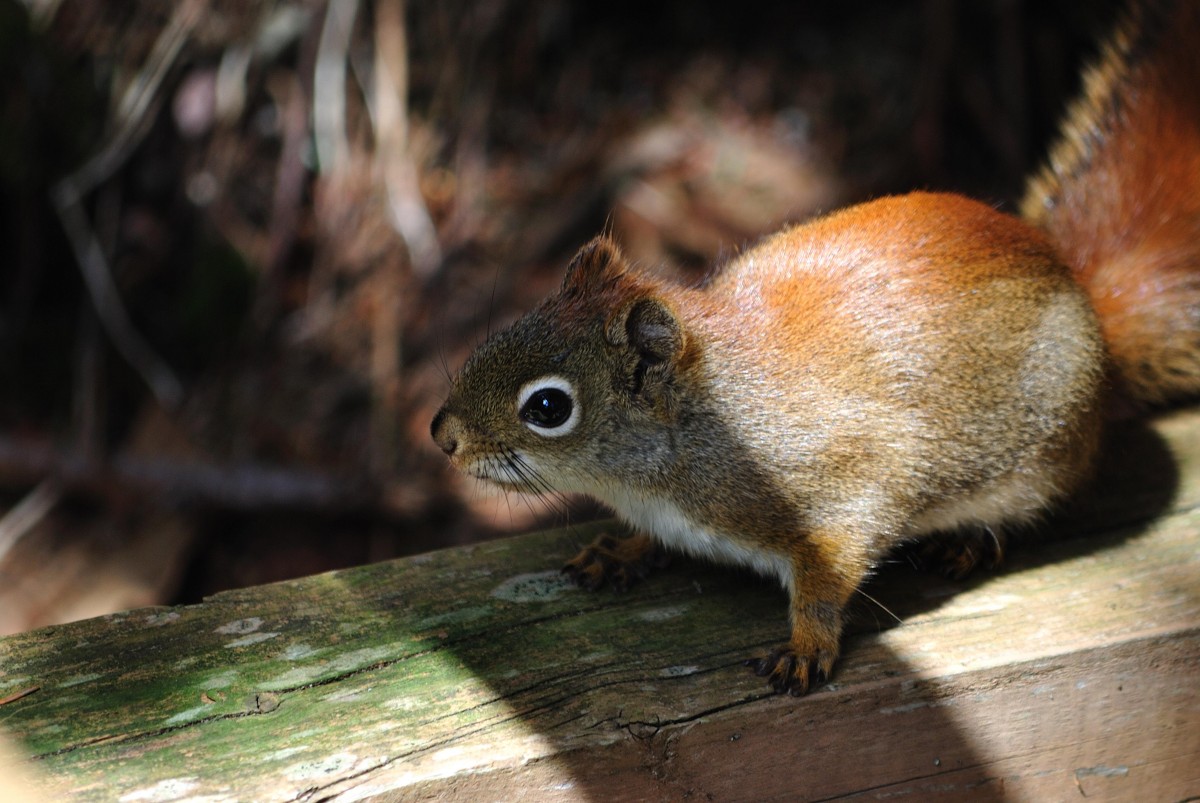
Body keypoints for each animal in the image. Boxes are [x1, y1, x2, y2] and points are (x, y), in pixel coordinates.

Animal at [432, 0, 1200, 691]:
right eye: (503, 332)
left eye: (548, 407)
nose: (443, 435)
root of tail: (1079, 286)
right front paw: (621, 550)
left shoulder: (843, 490)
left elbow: (827, 579)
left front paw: (806, 647)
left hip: (1042, 454)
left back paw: (967, 540)